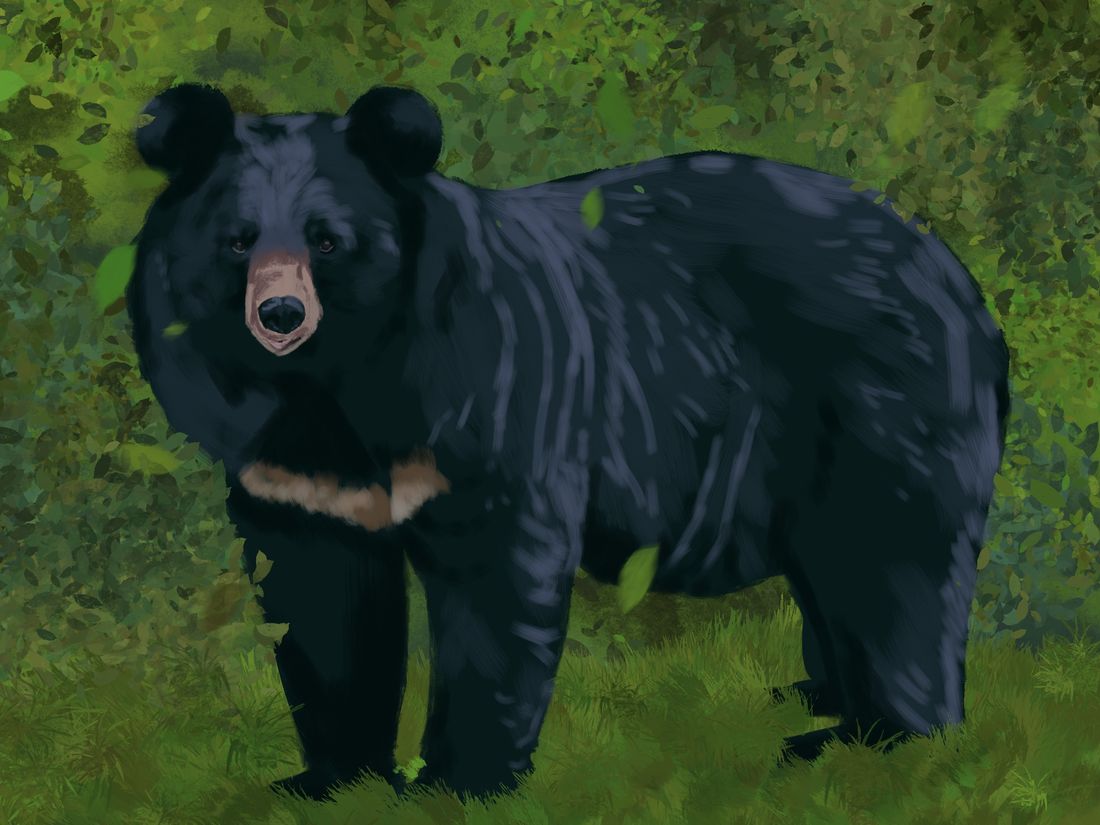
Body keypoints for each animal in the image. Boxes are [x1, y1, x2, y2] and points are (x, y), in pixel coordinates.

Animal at [126, 83, 1010, 801]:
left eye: (327, 239)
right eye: (238, 240)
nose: (280, 315)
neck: (329, 388)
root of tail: (961, 282)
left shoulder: (488, 395)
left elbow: (495, 580)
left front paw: (455, 781)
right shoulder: (288, 472)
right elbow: (321, 601)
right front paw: (327, 778)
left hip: (880, 408)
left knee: (892, 567)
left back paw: (859, 740)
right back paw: (808, 696)